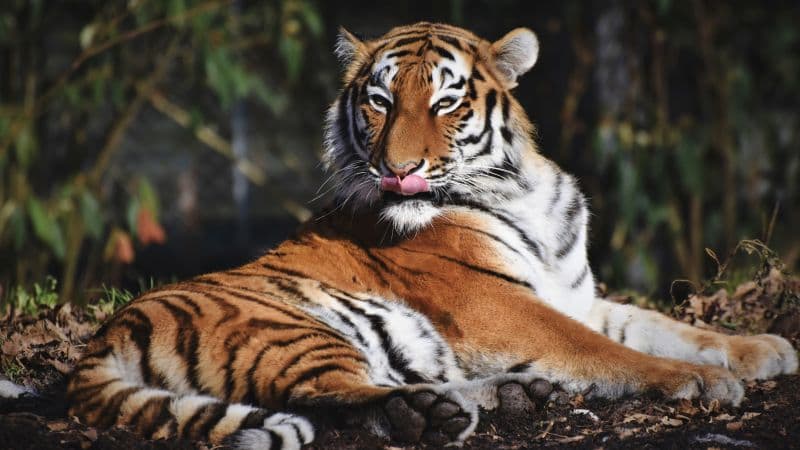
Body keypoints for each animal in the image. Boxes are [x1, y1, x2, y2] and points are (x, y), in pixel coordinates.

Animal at [65, 22, 797, 449]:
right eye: (379, 100)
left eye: (446, 102)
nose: (398, 169)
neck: (523, 191)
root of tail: (100, 341)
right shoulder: (496, 305)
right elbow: (609, 351)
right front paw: (700, 382)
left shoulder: (573, 295)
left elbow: (662, 326)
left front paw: (762, 349)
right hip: (288, 327)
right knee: (331, 395)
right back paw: (436, 415)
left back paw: (505, 396)